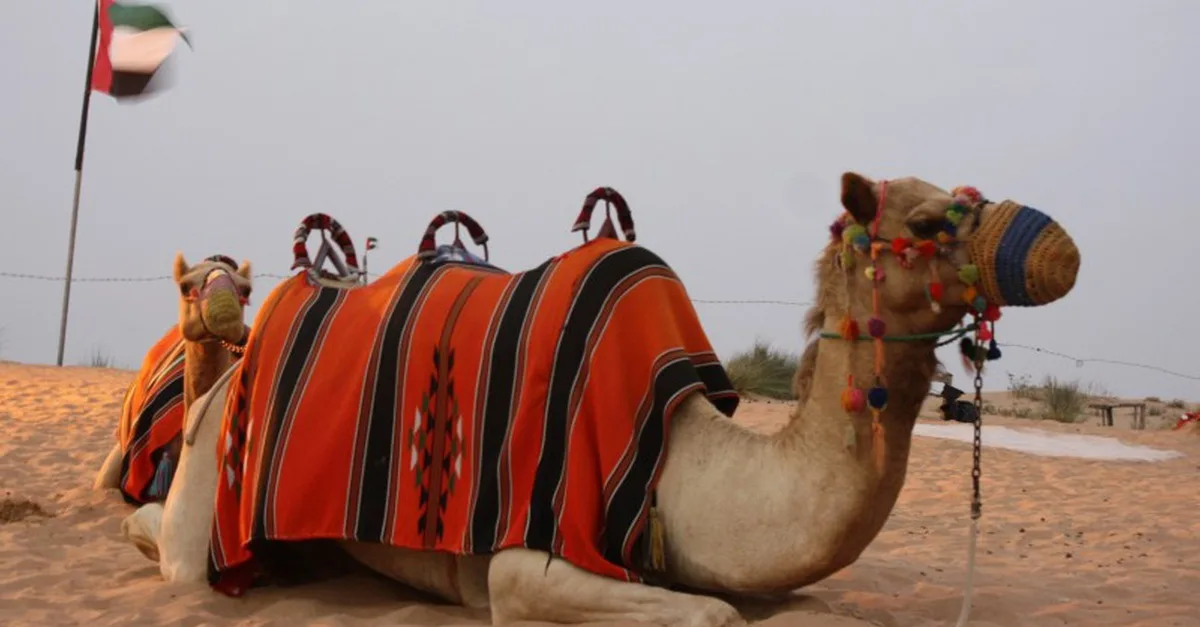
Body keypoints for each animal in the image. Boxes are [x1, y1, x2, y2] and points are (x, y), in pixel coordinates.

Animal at [121, 174, 1080, 626]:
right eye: (922, 222)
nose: (1059, 247)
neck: (683, 462)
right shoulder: (529, 555)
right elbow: (715, 613)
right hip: (215, 472)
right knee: (174, 550)